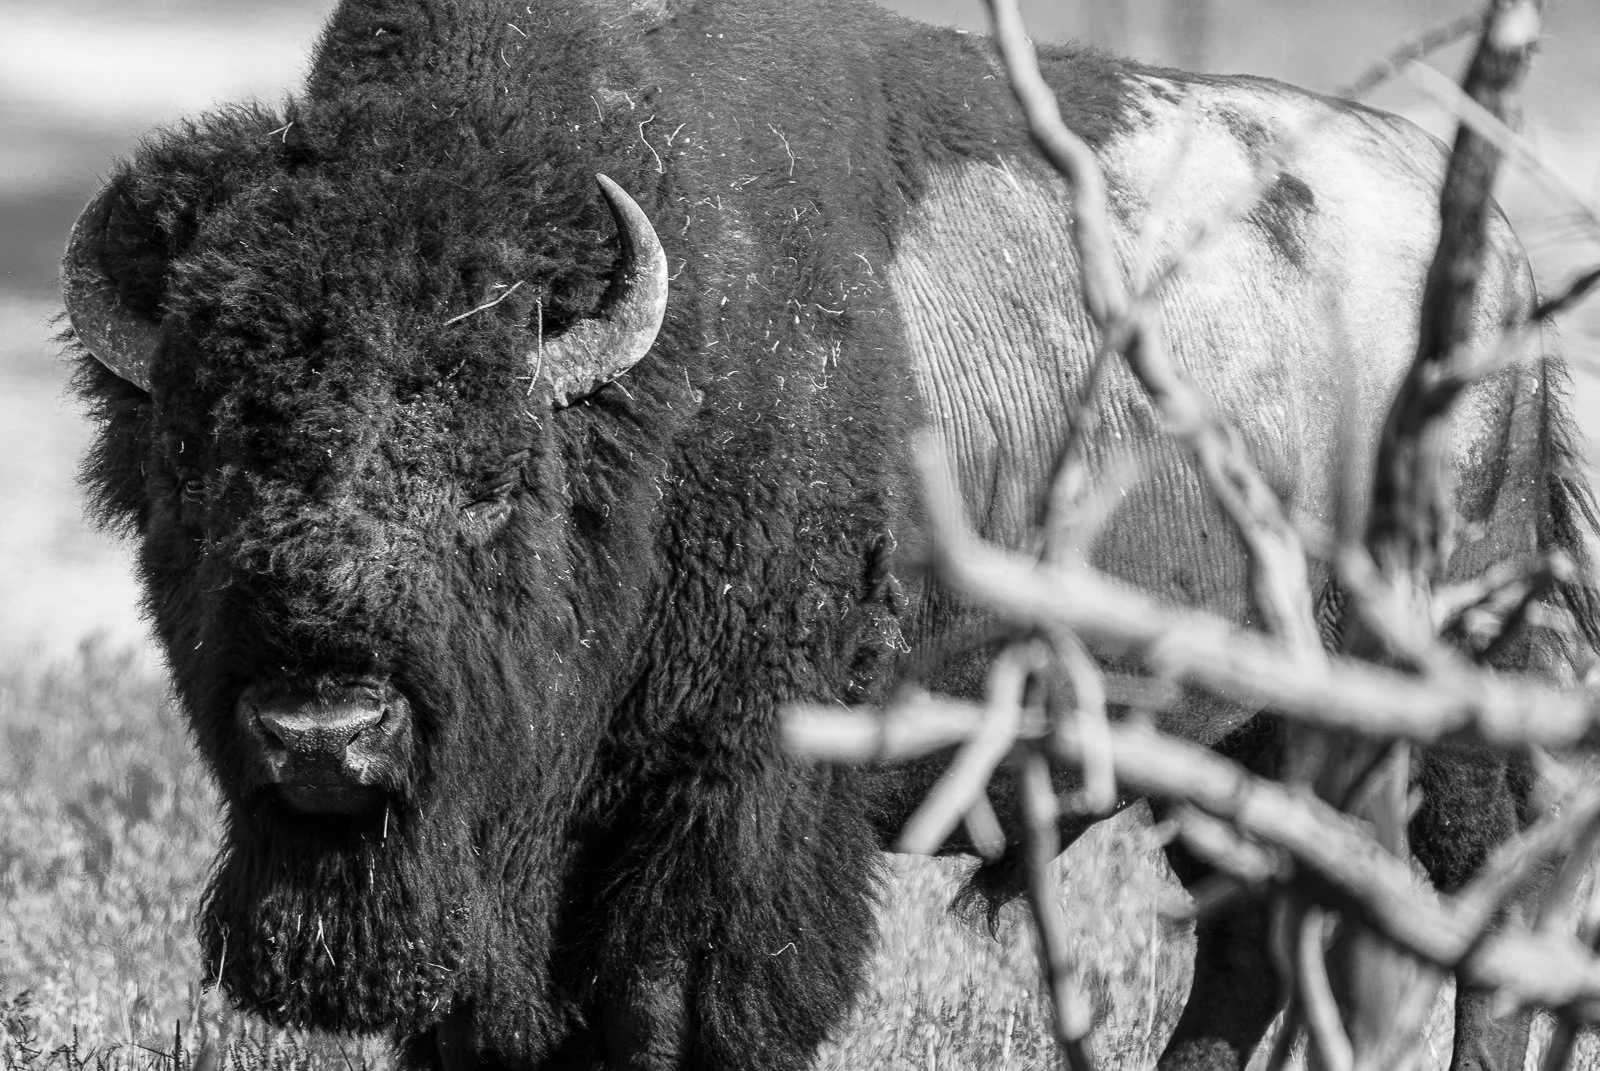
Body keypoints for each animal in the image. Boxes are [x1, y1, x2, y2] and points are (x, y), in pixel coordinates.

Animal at [63, 0, 1597, 1068]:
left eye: (494, 481)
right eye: (198, 463)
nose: (323, 730)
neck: (650, 404)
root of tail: (1502, 275)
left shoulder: (733, 797)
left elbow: (680, 1005)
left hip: (1438, 696)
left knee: (1482, 906)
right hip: (1236, 737)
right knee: (1252, 939)